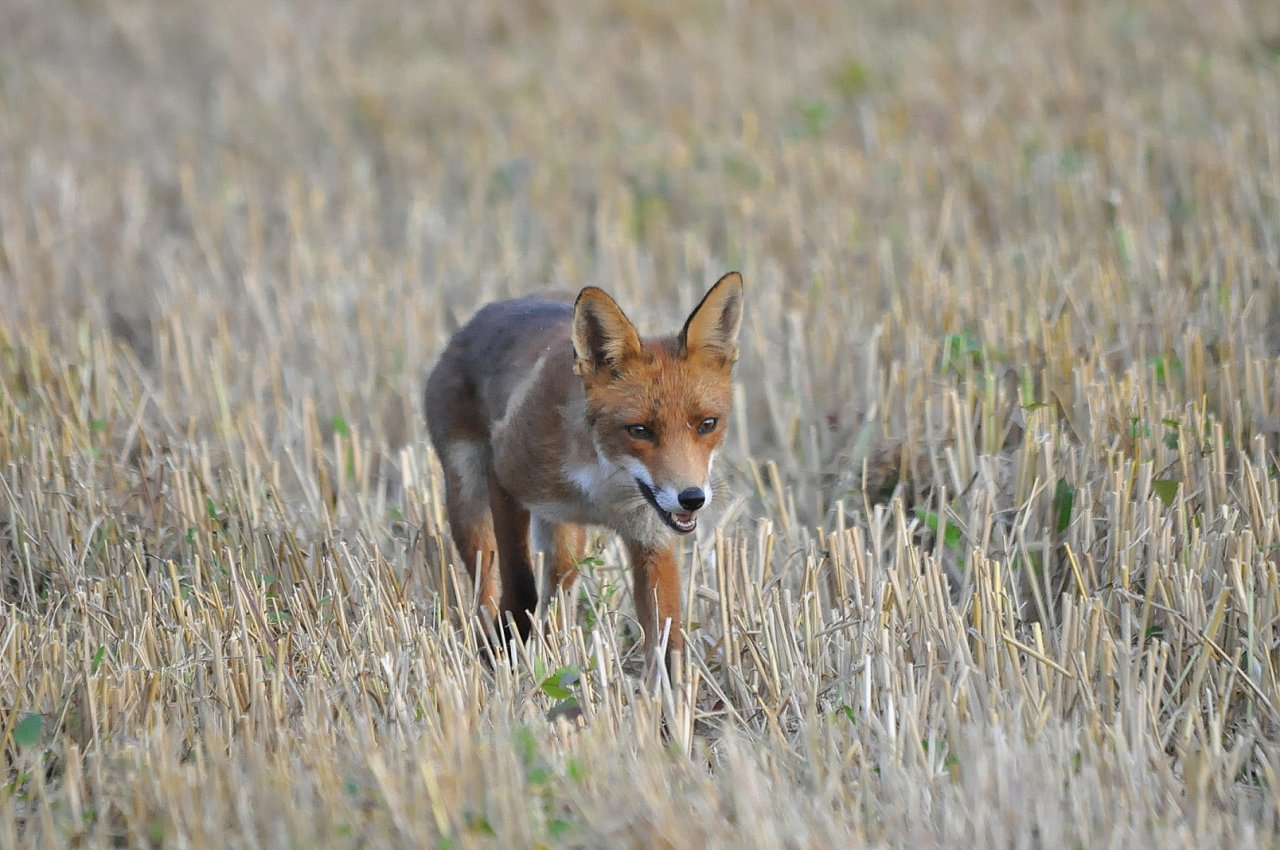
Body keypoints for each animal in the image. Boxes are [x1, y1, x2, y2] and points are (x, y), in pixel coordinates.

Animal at [424, 275, 742, 681]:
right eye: (639, 430)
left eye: (707, 424)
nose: (692, 498)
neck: (600, 486)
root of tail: (484, 314)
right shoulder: (505, 476)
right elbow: (521, 587)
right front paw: (506, 650)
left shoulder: (652, 540)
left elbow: (667, 641)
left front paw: (671, 699)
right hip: (469, 504)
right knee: (486, 587)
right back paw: (489, 644)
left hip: (566, 543)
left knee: (559, 593)